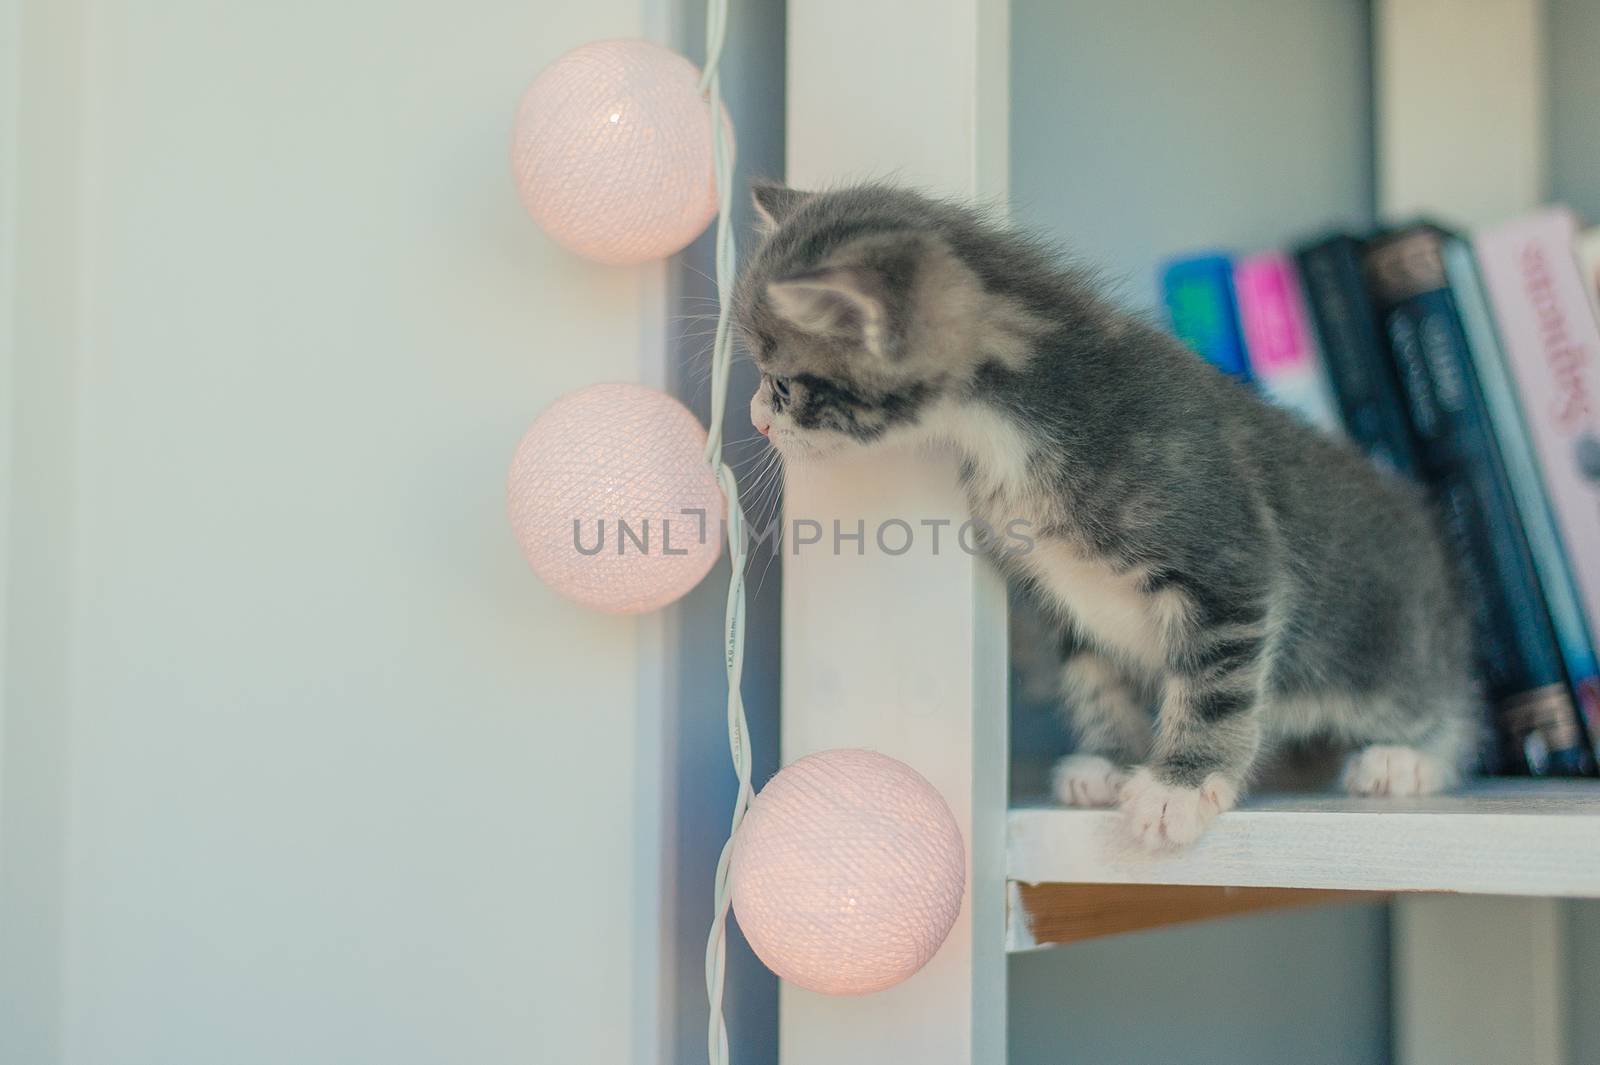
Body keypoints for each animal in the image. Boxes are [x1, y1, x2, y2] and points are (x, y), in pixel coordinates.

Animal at [732, 182, 1478, 844]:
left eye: (781, 382)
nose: (755, 419)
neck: (1014, 425)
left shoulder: (1230, 563)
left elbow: (1214, 687)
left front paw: (1181, 783)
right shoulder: (1061, 599)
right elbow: (1094, 677)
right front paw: (1112, 760)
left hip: (1377, 645)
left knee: (1441, 699)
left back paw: (1410, 757)